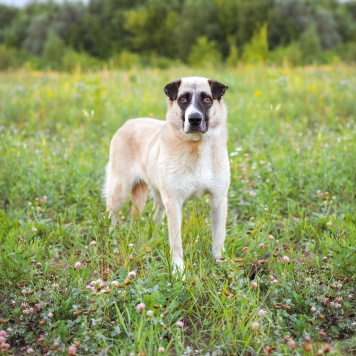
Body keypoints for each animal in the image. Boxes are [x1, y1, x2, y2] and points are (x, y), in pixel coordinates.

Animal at [104, 76, 229, 272]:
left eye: (207, 99)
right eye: (183, 99)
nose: (194, 119)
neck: (196, 146)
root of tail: (129, 122)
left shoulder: (218, 199)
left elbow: (218, 236)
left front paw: (219, 261)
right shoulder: (174, 202)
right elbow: (176, 242)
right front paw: (178, 270)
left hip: (159, 194)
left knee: (156, 214)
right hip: (120, 190)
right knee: (112, 214)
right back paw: (113, 237)